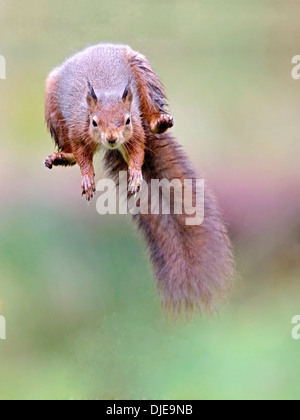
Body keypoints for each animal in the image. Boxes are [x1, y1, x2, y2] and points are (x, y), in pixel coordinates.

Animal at [44, 43, 234, 312]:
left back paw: (159, 121)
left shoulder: (135, 131)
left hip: (144, 75)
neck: (107, 94)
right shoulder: (78, 131)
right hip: (52, 109)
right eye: (94, 122)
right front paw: (87, 178)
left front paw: (135, 174)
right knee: (69, 149)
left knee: (151, 113)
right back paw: (62, 156)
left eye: (126, 120)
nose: (112, 138)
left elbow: (137, 152)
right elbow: (82, 157)